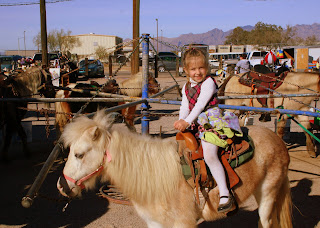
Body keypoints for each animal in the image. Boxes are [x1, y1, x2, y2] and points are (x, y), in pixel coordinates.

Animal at [56, 110, 292, 228]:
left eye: (79, 154)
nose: (61, 186)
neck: (153, 176)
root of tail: (277, 139)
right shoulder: (154, 223)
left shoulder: (183, 223)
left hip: (268, 193)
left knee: (266, 221)